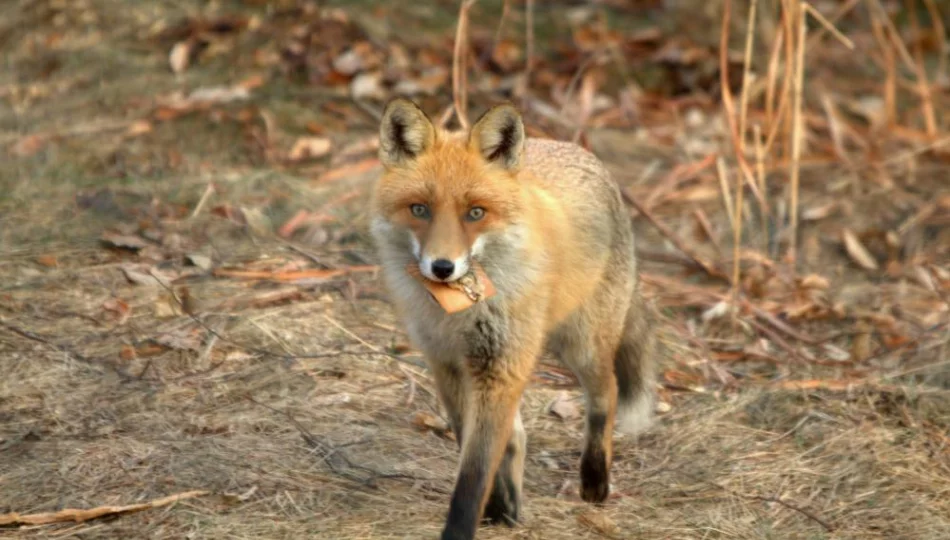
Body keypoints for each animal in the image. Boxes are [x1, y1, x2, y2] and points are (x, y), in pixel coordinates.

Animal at [372, 98, 660, 540]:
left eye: (475, 213)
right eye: (420, 209)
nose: (442, 267)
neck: (460, 312)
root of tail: (578, 149)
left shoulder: (501, 365)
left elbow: (472, 476)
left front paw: (462, 529)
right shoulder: (447, 365)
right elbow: (474, 445)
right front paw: (496, 508)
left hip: (581, 345)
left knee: (606, 394)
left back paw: (595, 480)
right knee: (518, 436)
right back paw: (510, 504)